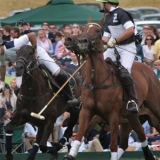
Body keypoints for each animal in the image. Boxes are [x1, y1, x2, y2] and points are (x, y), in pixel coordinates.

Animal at [63, 22, 160, 160]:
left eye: (97, 31)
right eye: (83, 29)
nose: (81, 40)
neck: (96, 80)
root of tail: (150, 70)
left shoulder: (112, 115)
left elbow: (113, 144)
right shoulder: (86, 111)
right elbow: (79, 133)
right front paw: (70, 154)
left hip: (154, 109)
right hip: (131, 117)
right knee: (136, 137)